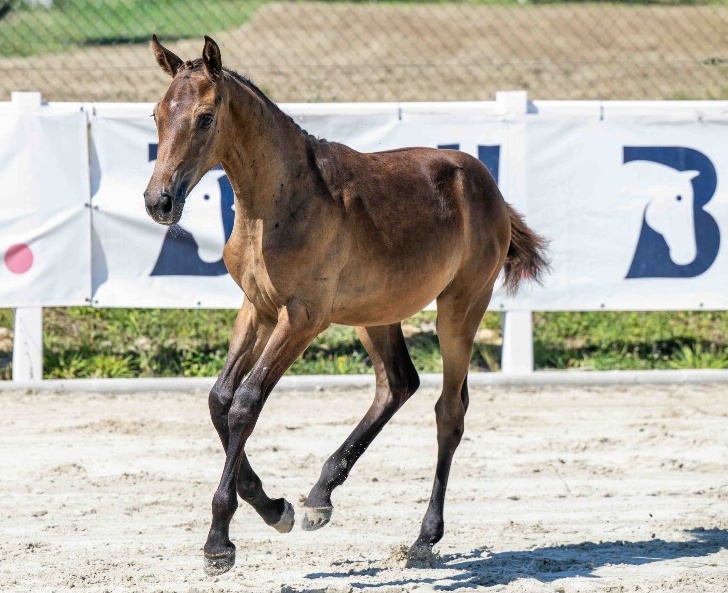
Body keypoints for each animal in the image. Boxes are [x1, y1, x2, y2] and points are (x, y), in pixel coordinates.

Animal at [144, 35, 549, 576]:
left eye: (206, 117)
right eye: (156, 114)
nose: (159, 202)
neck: (276, 203)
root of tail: (489, 186)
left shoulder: (302, 317)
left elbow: (247, 403)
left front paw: (219, 542)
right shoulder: (258, 308)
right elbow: (219, 399)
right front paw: (275, 507)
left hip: (461, 306)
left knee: (449, 410)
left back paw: (425, 538)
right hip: (376, 313)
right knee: (397, 384)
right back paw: (320, 497)